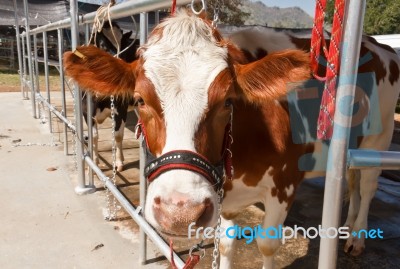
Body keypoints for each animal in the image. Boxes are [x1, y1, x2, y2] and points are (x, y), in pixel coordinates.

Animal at [83, 22, 138, 171]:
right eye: (102, 45)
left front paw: (119, 162)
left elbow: (118, 135)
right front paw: (95, 162)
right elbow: (94, 136)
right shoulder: (86, 111)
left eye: (123, 47)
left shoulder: (121, 109)